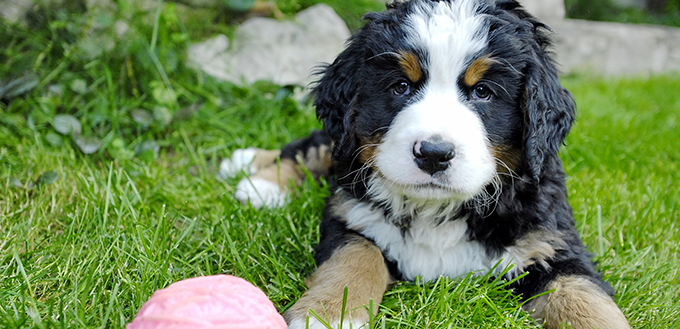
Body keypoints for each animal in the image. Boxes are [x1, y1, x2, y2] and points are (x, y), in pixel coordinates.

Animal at [222, 0, 632, 328]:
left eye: (483, 92)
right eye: (401, 86)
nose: (433, 153)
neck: (436, 211)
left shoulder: (552, 246)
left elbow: (585, 297)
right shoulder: (350, 215)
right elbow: (356, 255)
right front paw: (328, 313)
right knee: (313, 147)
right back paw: (257, 176)